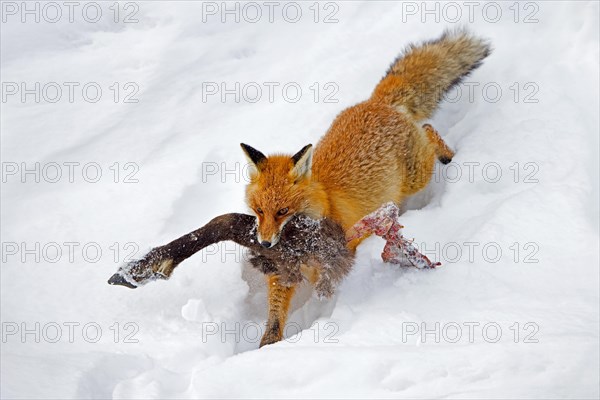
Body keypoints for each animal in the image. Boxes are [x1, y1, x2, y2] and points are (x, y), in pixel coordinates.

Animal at [241, 29, 490, 346]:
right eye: (259, 211)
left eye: (283, 211)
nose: (264, 244)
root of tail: (376, 103)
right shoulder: (282, 272)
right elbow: (274, 317)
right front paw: (267, 346)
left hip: (417, 175)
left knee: (428, 130)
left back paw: (448, 155)